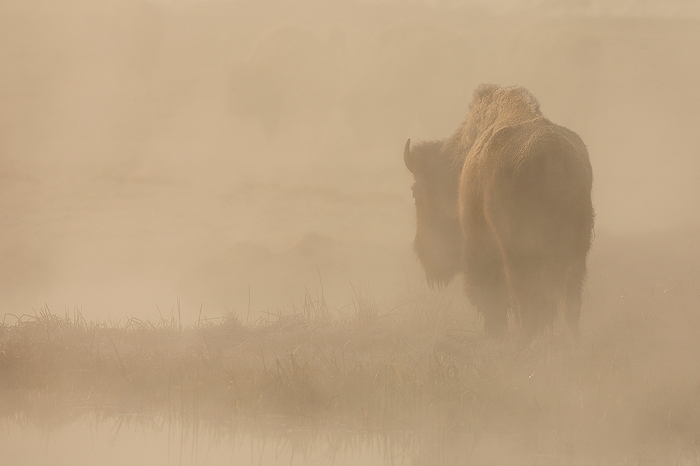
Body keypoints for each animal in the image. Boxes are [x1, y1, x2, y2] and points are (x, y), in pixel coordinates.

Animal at [404, 84, 594, 337]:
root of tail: (552, 153)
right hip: (576, 248)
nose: (421, 250)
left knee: (527, 296)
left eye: (417, 193)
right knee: (568, 300)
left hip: (516, 249)